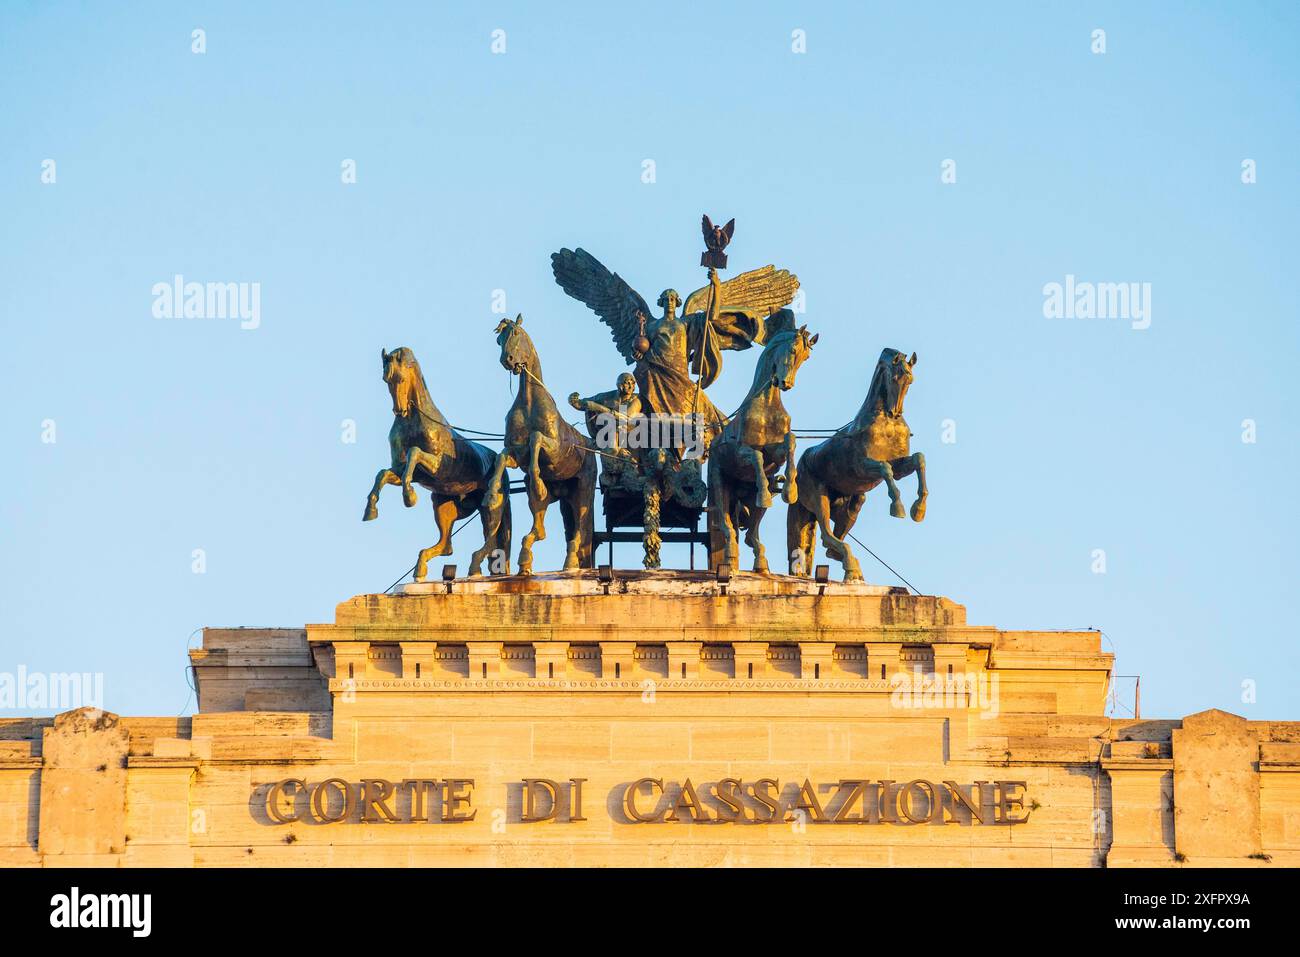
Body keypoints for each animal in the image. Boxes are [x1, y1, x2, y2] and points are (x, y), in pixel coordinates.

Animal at [707, 325, 816, 572]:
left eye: (806, 358)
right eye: (793, 349)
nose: (786, 384)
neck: (766, 406)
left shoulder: (776, 455)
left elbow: (790, 442)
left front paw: (789, 491)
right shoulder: (742, 452)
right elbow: (756, 456)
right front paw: (767, 494)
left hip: (747, 498)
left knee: (750, 534)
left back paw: (760, 560)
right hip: (720, 486)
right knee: (727, 524)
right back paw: (731, 553)